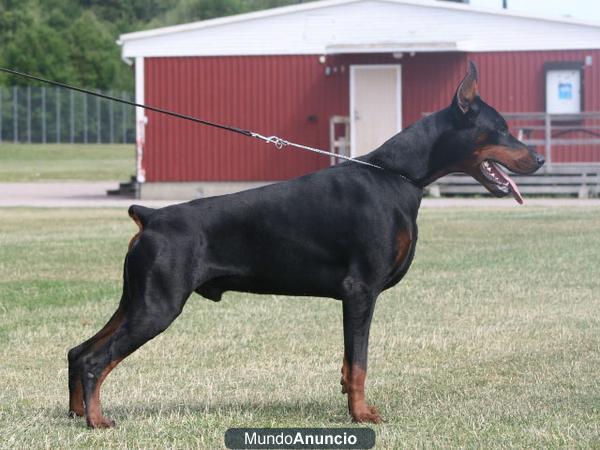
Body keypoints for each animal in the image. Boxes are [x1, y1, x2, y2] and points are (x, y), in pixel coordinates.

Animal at [69, 60, 544, 428]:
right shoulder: (360, 291)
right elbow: (360, 362)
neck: (397, 176)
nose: (540, 159)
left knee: (79, 351)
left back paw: (77, 413)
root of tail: (150, 215)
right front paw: (362, 415)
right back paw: (97, 420)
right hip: (158, 306)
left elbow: (350, 363)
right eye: (501, 129)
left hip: (137, 300)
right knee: (96, 359)